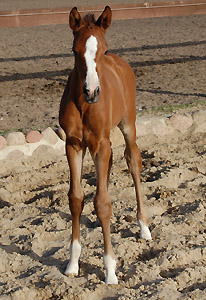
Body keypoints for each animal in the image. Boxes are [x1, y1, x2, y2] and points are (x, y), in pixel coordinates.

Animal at [59, 5, 151, 284]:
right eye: (74, 50)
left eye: (105, 49)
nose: (92, 92)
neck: (84, 105)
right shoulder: (73, 145)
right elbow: (76, 198)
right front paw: (72, 263)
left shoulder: (100, 143)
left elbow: (103, 203)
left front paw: (110, 269)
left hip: (127, 125)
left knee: (133, 162)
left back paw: (144, 226)